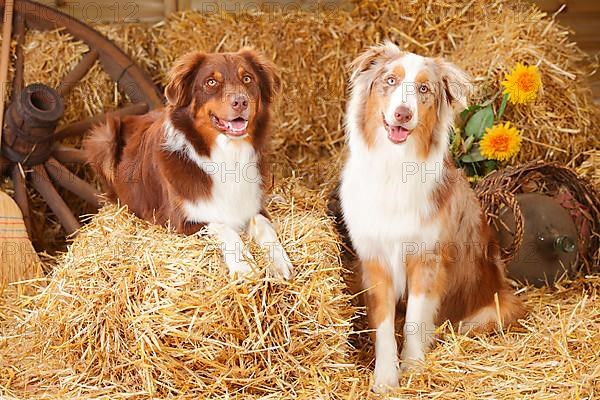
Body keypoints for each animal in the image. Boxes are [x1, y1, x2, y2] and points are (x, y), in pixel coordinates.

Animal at [84, 48, 290, 280]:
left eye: (247, 79)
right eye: (211, 82)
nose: (241, 102)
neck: (227, 156)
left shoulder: (253, 206)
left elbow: (264, 226)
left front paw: (279, 261)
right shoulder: (180, 222)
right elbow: (223, 227)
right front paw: (243, 265)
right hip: (103, 138)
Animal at [340, 42, 524, 392]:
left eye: (424, 89)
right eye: (390, 80)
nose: (403, 113)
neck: (395, 165)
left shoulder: (427, 258)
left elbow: (413, 321)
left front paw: (413, 368)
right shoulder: (375, 259)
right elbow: (384, 324)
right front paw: (385, 378)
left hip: (494, 308)